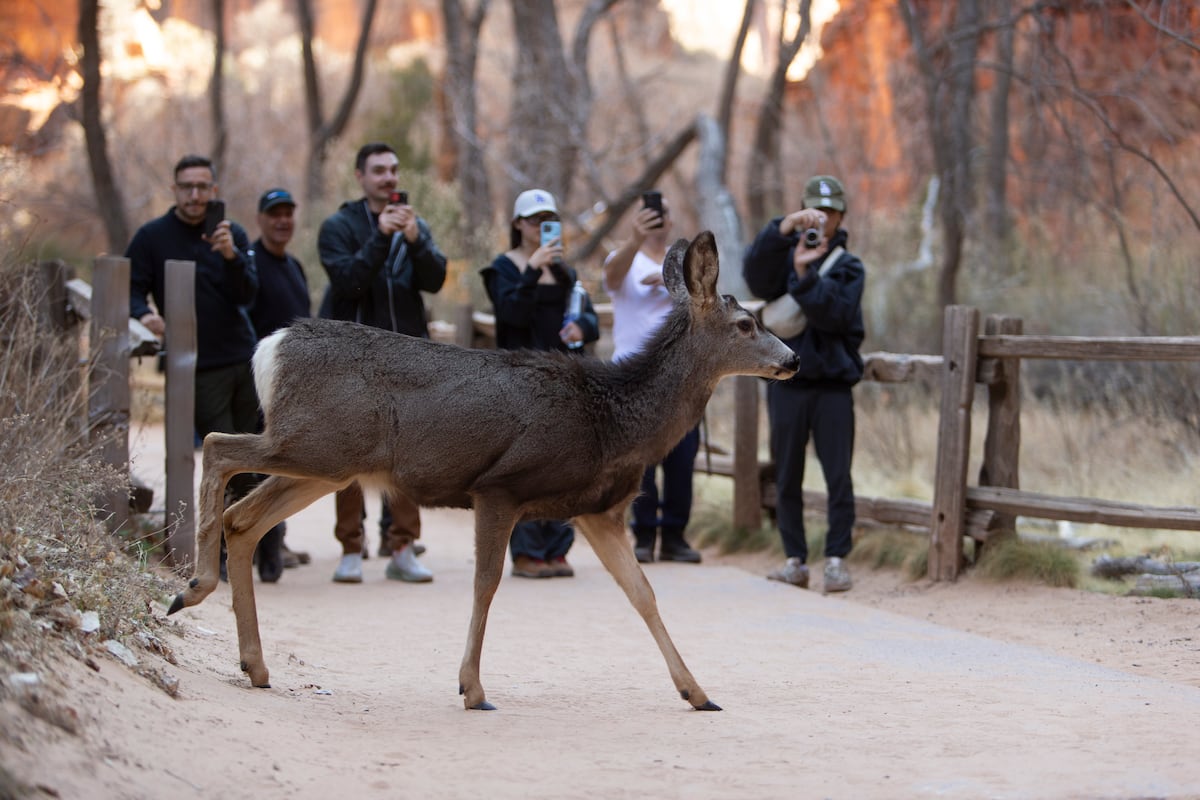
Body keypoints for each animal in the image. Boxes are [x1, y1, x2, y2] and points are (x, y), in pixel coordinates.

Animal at [166, 231, 799, 711]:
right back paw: (193, 587)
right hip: (313, 443)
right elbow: (487, 583)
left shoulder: (597, 511)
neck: (614, 420)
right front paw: (472, 689)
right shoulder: (500, 486)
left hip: (327, 464)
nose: (793, 359)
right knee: (218, 446)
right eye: (747, 325)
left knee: (244, 520)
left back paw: (254, 664)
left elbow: (642, 594)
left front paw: (698, 693)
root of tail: (270, 346)